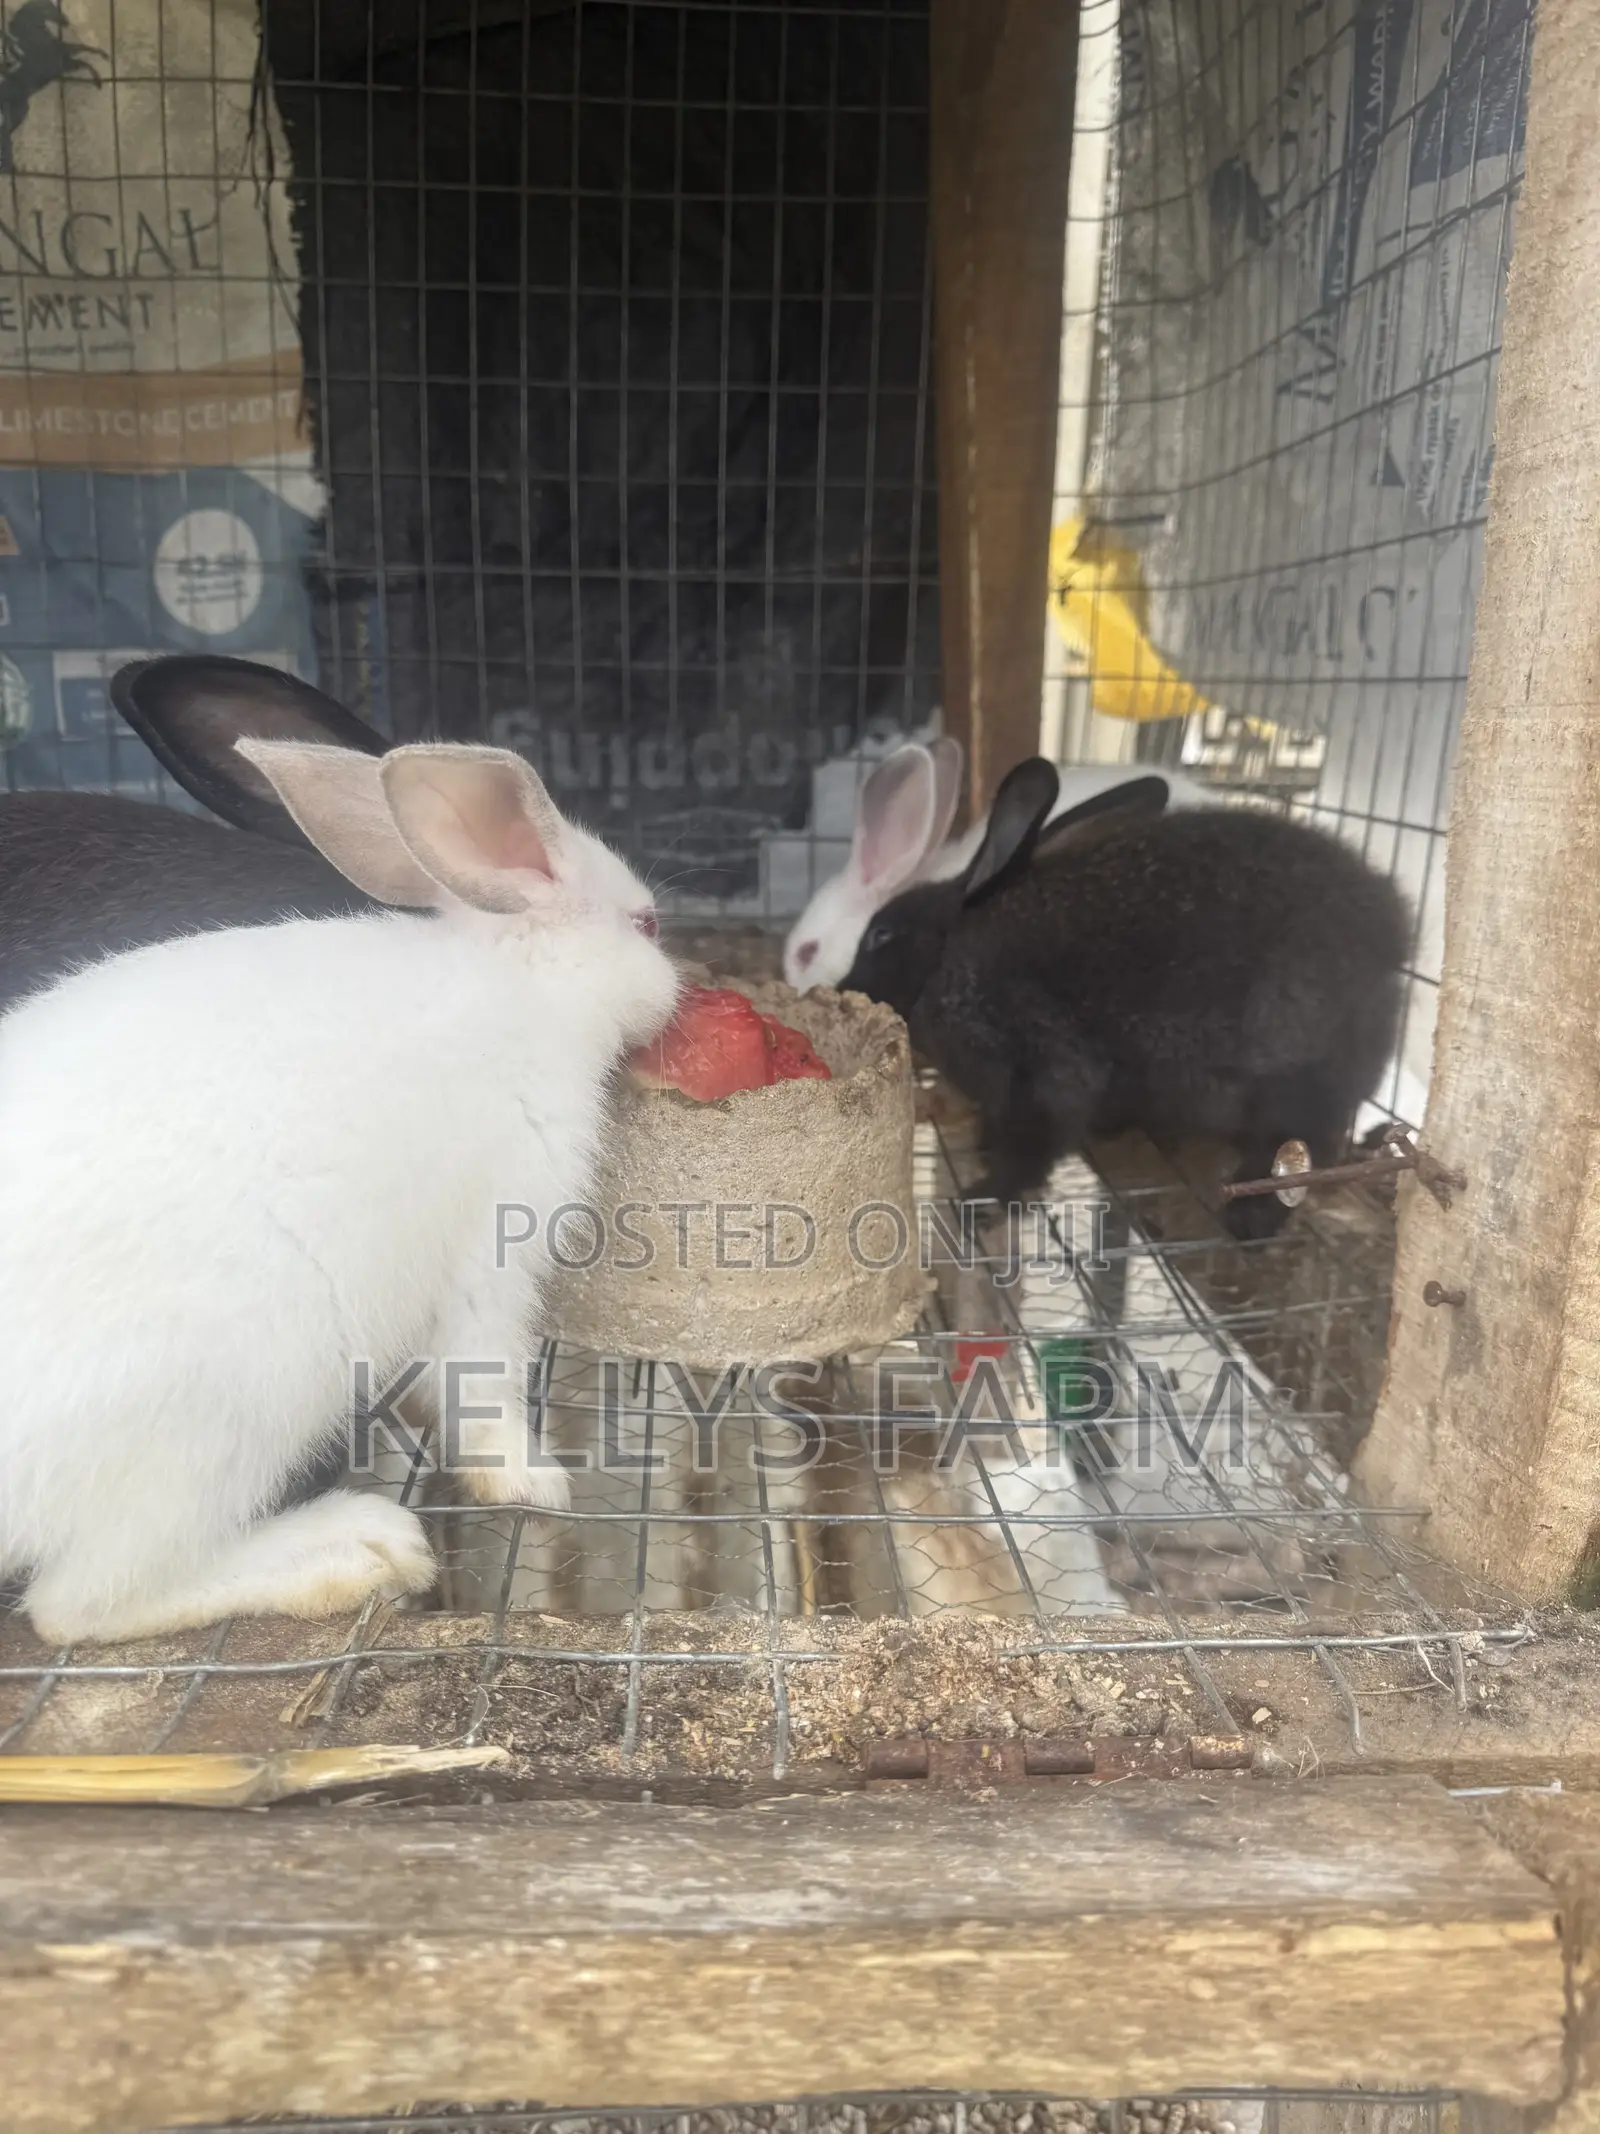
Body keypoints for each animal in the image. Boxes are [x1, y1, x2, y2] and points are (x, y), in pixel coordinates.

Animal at [0, 737, 679, 1647]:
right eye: (646, 924)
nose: (677, 986)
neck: (521, 979)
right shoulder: (496, 1238)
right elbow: (483, 1380)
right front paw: (530, 1480)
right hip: (226, 1410)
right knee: (80, 1604)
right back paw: (356, 1550)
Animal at [840, 757, 1410, 1243]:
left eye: (880, 935)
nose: (845, 987)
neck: (948, 959)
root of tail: (1390, 945)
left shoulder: (1042, 1065)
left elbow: (1033, 1146)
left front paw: (984, 1196)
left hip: (1288, 1064)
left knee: (1298, 1145)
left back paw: (1252, 1216)